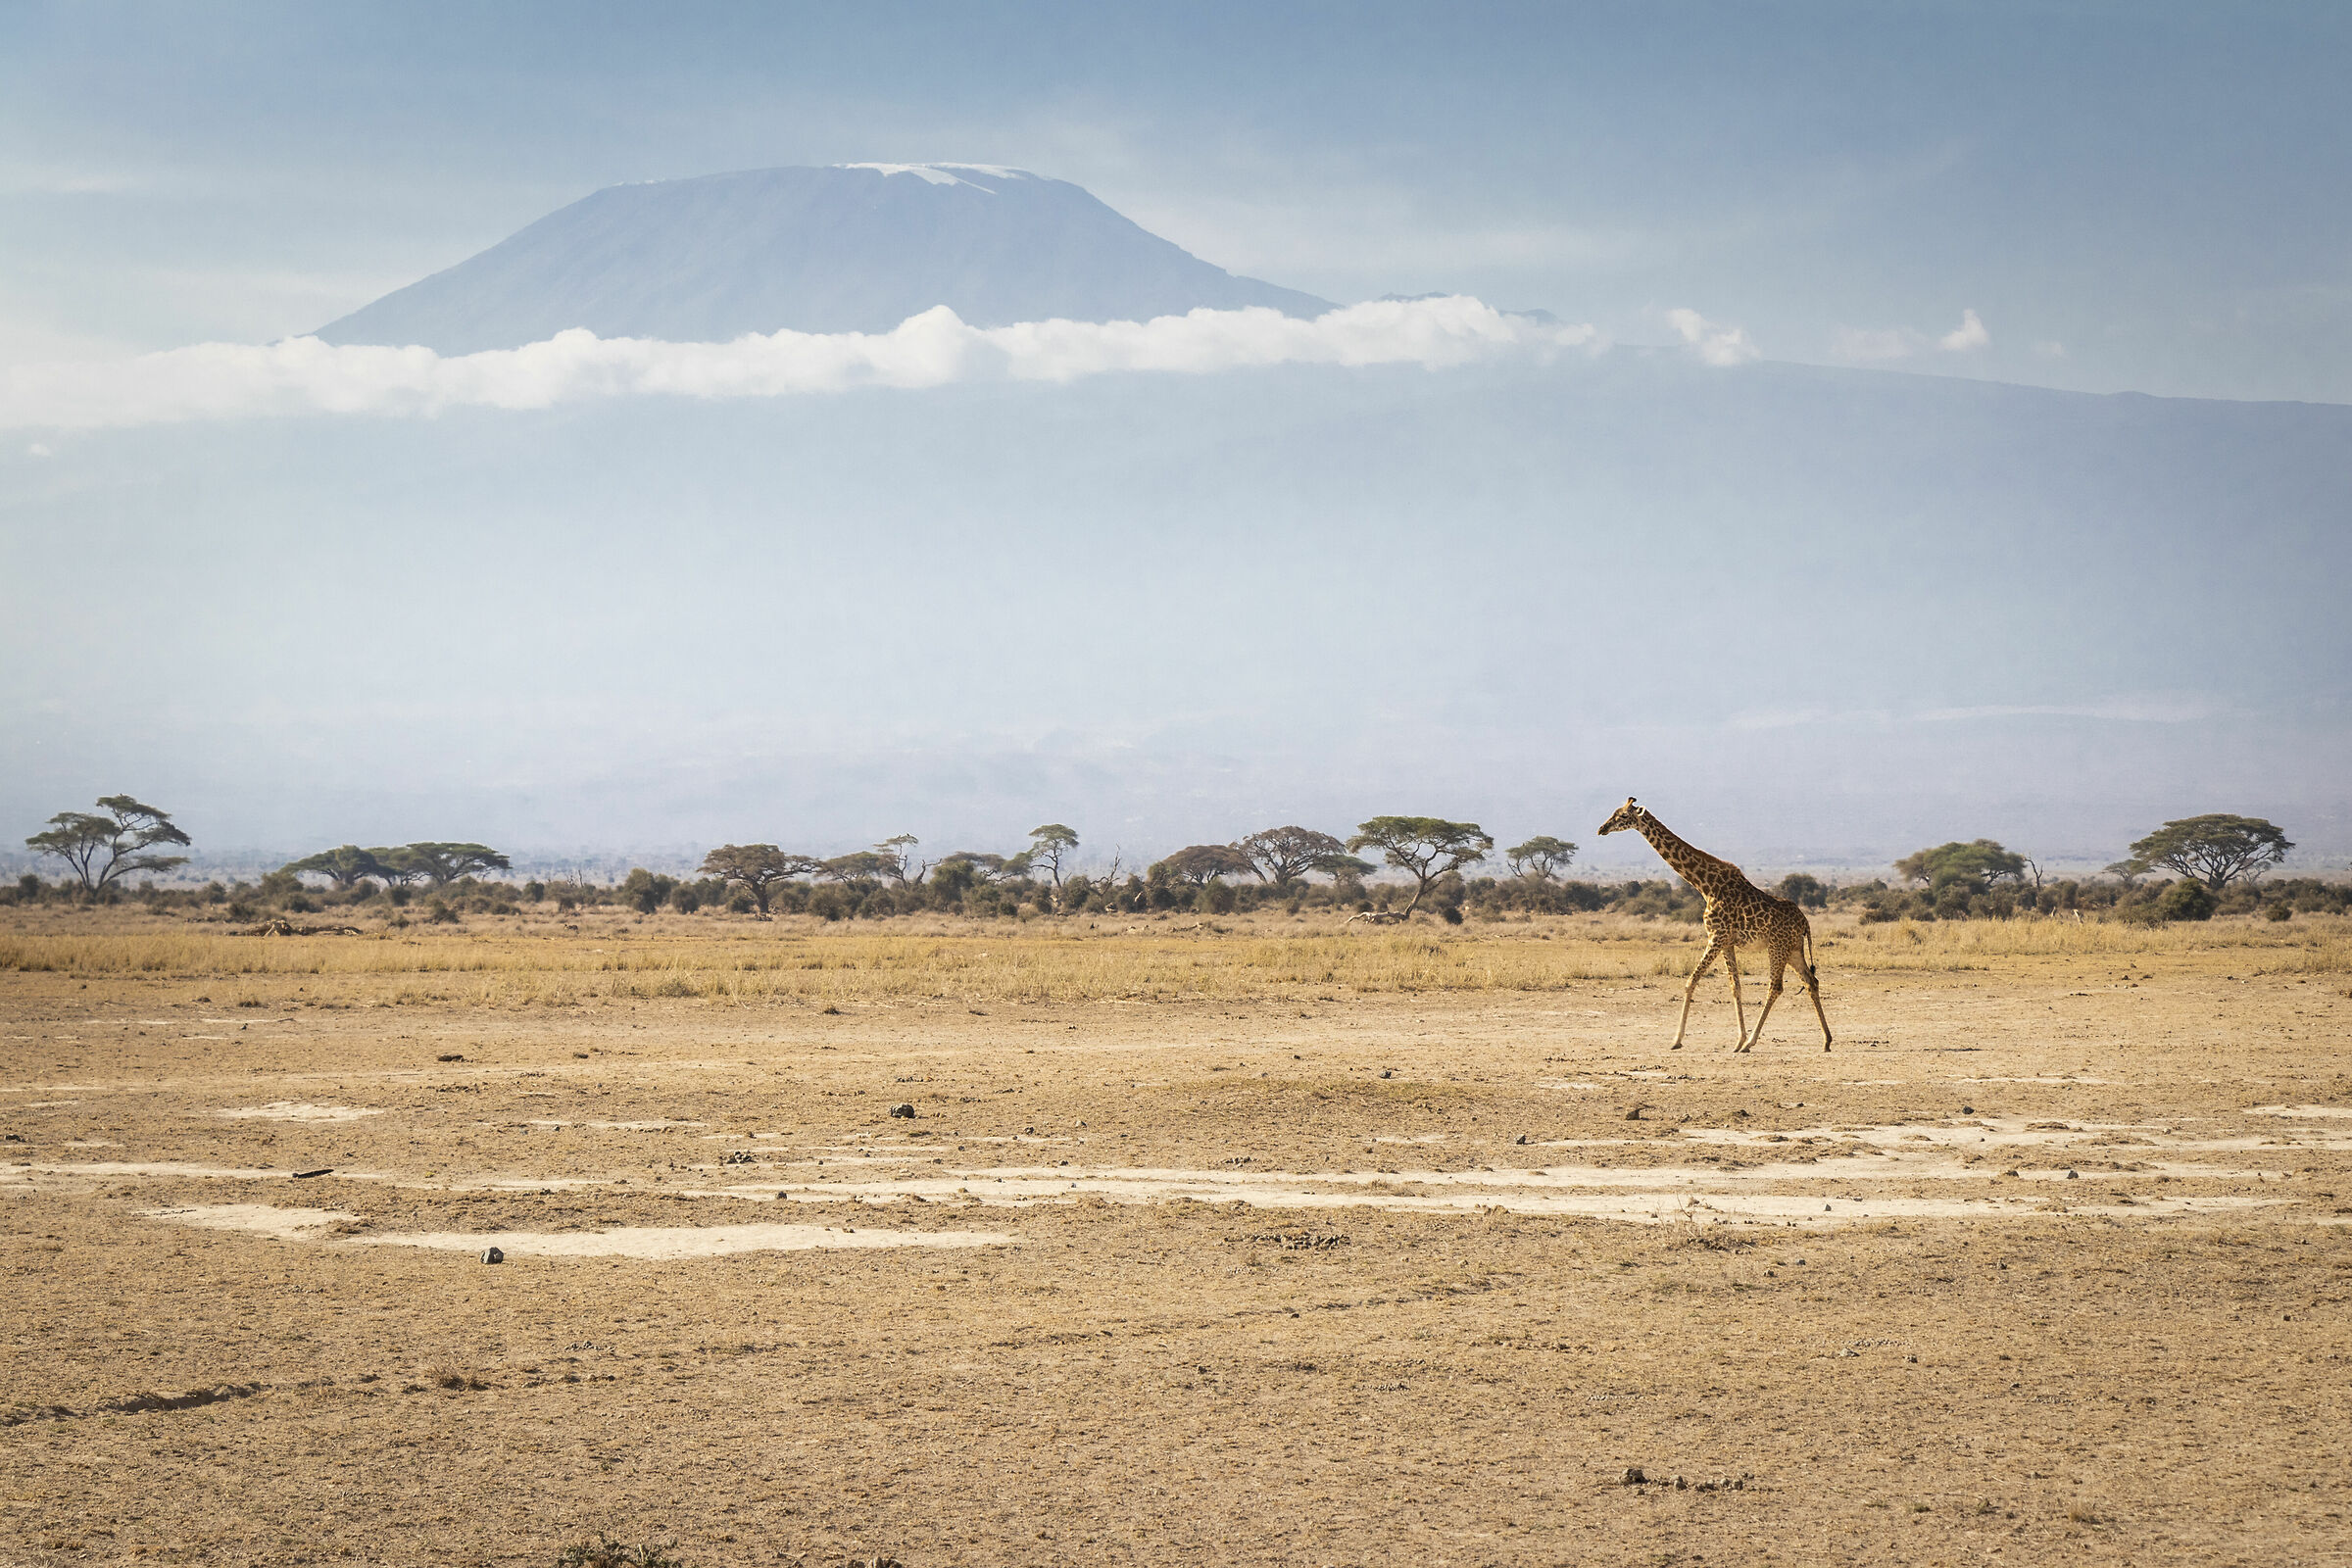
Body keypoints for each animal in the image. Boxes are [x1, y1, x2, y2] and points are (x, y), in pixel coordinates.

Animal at [1596, 798, 1832, 1052]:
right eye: (1614, 812)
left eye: (1622, 816)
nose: (1602, 829)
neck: (1705, 885)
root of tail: (1805, 921)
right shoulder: (1727, 942)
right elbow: (1735, 987)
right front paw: (1738, 1040)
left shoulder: (1716, 936)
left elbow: (1691, 981)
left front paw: (1677, 1040)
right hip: (1794, 949)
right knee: (1811, 981)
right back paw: (1826, 1040)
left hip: (1777, 947)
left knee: (1776, 986)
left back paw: (1753, 1042)